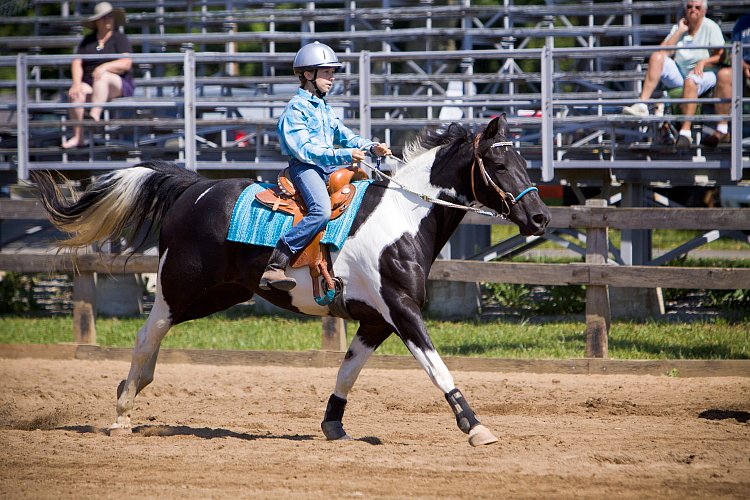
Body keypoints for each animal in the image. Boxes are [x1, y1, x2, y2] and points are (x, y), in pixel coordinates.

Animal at [32, 115, 548, 448]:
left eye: (524, 161)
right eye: (499, 165)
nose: (540, 218)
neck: (403, 215)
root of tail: (195, 187)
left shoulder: (374, 321)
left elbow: (347, 370)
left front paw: (333, 426)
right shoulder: (401, 311)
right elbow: (437, 367)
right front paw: (476, 427)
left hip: (217, 296)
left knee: (153, 340)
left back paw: (135, 391)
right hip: (178, 290)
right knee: (146, 336)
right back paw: (123, 412)